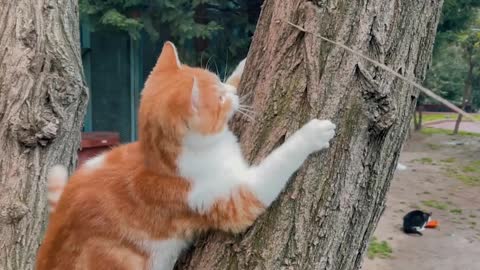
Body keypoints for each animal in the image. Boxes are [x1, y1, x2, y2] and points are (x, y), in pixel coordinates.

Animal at [35, 42, 336, 270]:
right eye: (220, 99)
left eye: (219, 82)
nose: (231, 94)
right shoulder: (237, 198)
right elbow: (279, 161)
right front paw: (313, 133)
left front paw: (242, 63)